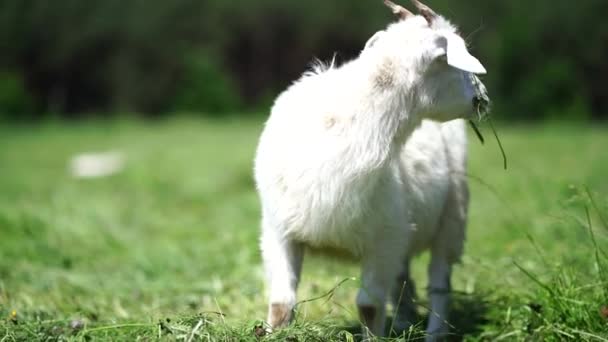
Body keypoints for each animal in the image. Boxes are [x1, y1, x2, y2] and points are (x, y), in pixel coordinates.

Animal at [254, 0, 492, 338]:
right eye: (457, 63)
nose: (482, 98)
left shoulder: (381, 242)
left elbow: (368, 305)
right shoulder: (279, 231)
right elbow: (280, 303)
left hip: (451, 218)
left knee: (439, 282)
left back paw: (434, 334)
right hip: (406, 226)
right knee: (404, 278)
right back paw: (405, 322)